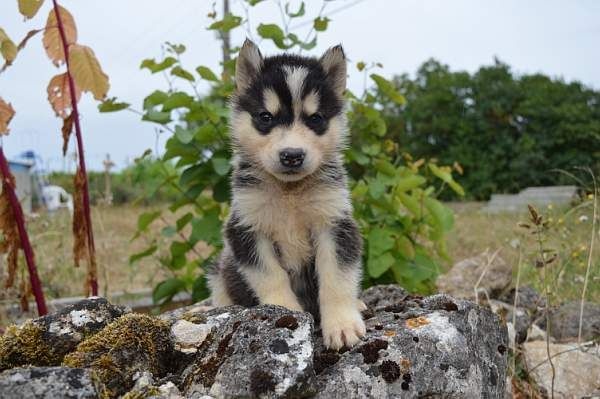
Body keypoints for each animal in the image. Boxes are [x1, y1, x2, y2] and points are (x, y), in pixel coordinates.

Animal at [206, 39, 366, 348]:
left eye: (316, 118)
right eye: (265, 117)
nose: (292, 155)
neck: (289, 193)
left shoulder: (334, 222)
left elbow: (336, 277)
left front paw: (342, 323)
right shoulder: (245, 227)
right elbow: (271, 276)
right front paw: (286, 313)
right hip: (221, 268)